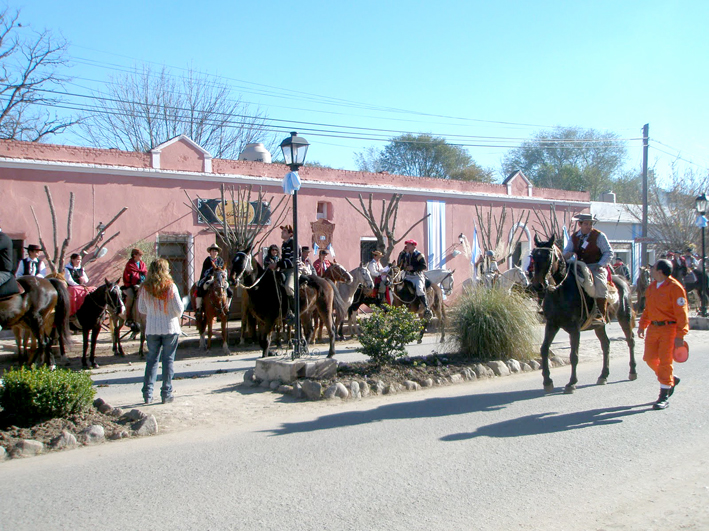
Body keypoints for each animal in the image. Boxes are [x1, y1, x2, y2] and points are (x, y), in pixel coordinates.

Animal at [532, 237, 636, 394]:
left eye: (548, 257)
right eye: (533, 256)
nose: (537, 286)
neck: (560, 291)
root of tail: (623, 280)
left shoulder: (575, 329)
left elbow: (574, 355)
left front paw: (571, 383)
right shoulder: (551, 324)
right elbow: (544, 349)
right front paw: (547, 381)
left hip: (625, 317)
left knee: (630, 341)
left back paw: (632, 371)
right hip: (599, 326)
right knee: (606, 345)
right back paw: (603, 375)